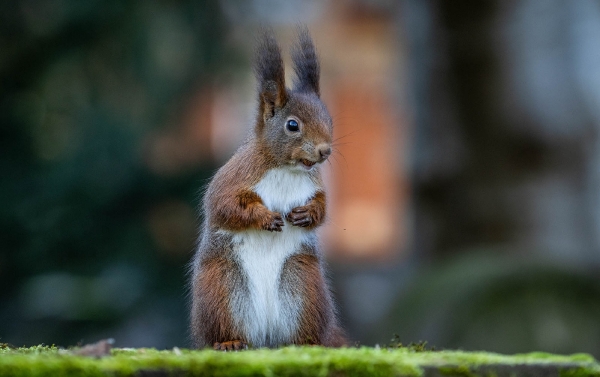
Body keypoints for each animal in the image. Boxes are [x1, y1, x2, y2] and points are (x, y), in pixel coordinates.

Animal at [188, 26, 346, 350]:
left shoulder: (315, 186)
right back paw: (229, 342)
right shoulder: (234, 179)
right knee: (222, 327)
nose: (325, 151)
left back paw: (305, 344)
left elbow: (322, 207)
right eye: (292, 125)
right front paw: (264, 218)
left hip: (304, 285)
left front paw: (307, 214)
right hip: (221, 288)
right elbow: (225, 206)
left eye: (328, 118)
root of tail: (265, 337)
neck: (287, 168)